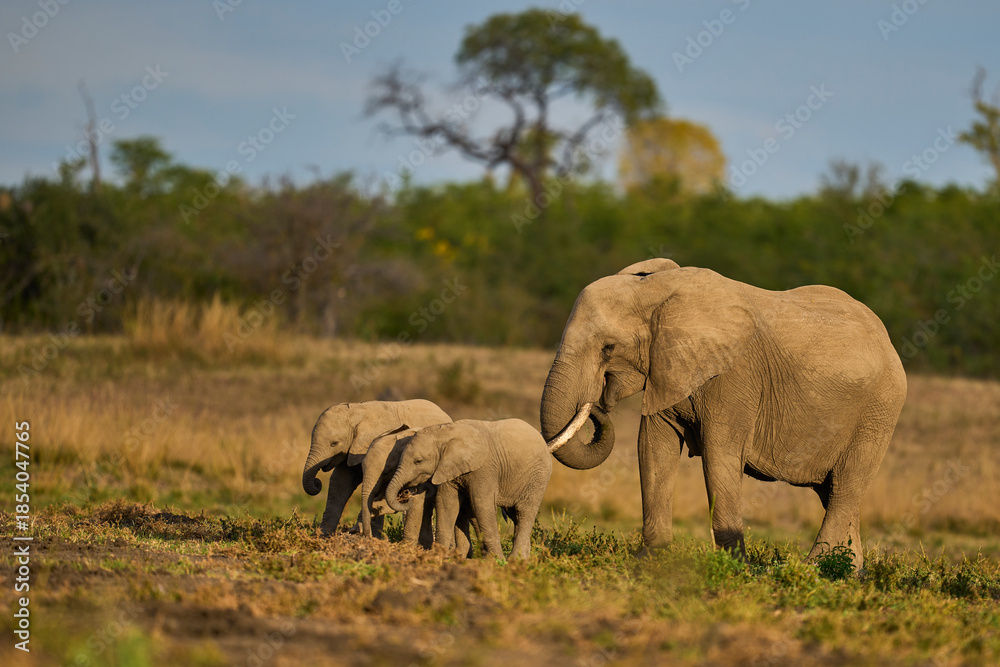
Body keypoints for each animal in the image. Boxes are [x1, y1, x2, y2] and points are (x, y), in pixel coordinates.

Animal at [302, 399, 451, 535]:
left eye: (334, 443)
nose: (317, 483)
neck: (356, 411)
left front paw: (358, 531)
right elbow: (340, 482)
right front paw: (321, 535)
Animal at [385, 419, 552, 560]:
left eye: (418, 461)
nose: (405, 495)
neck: (445, 432)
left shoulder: (484, 468)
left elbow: (482, 504)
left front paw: (498, 561)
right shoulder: (447, 468)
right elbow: (446, 503)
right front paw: (438, 556)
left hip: (538, 477)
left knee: (524, 512)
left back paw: (515, 560)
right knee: (515, 516)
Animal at [540, 258, 907, 570]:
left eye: (608, 348)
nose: (596, 406)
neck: (659, 292)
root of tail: (888, 340)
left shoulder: (735, 378)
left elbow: (720, 455)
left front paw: (735, 568)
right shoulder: (666, 370)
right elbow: (654, 448)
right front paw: (649, 561)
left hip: (878, 412)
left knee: (845, 487)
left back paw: (813, 570)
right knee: (833, 494)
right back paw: (846, 574)